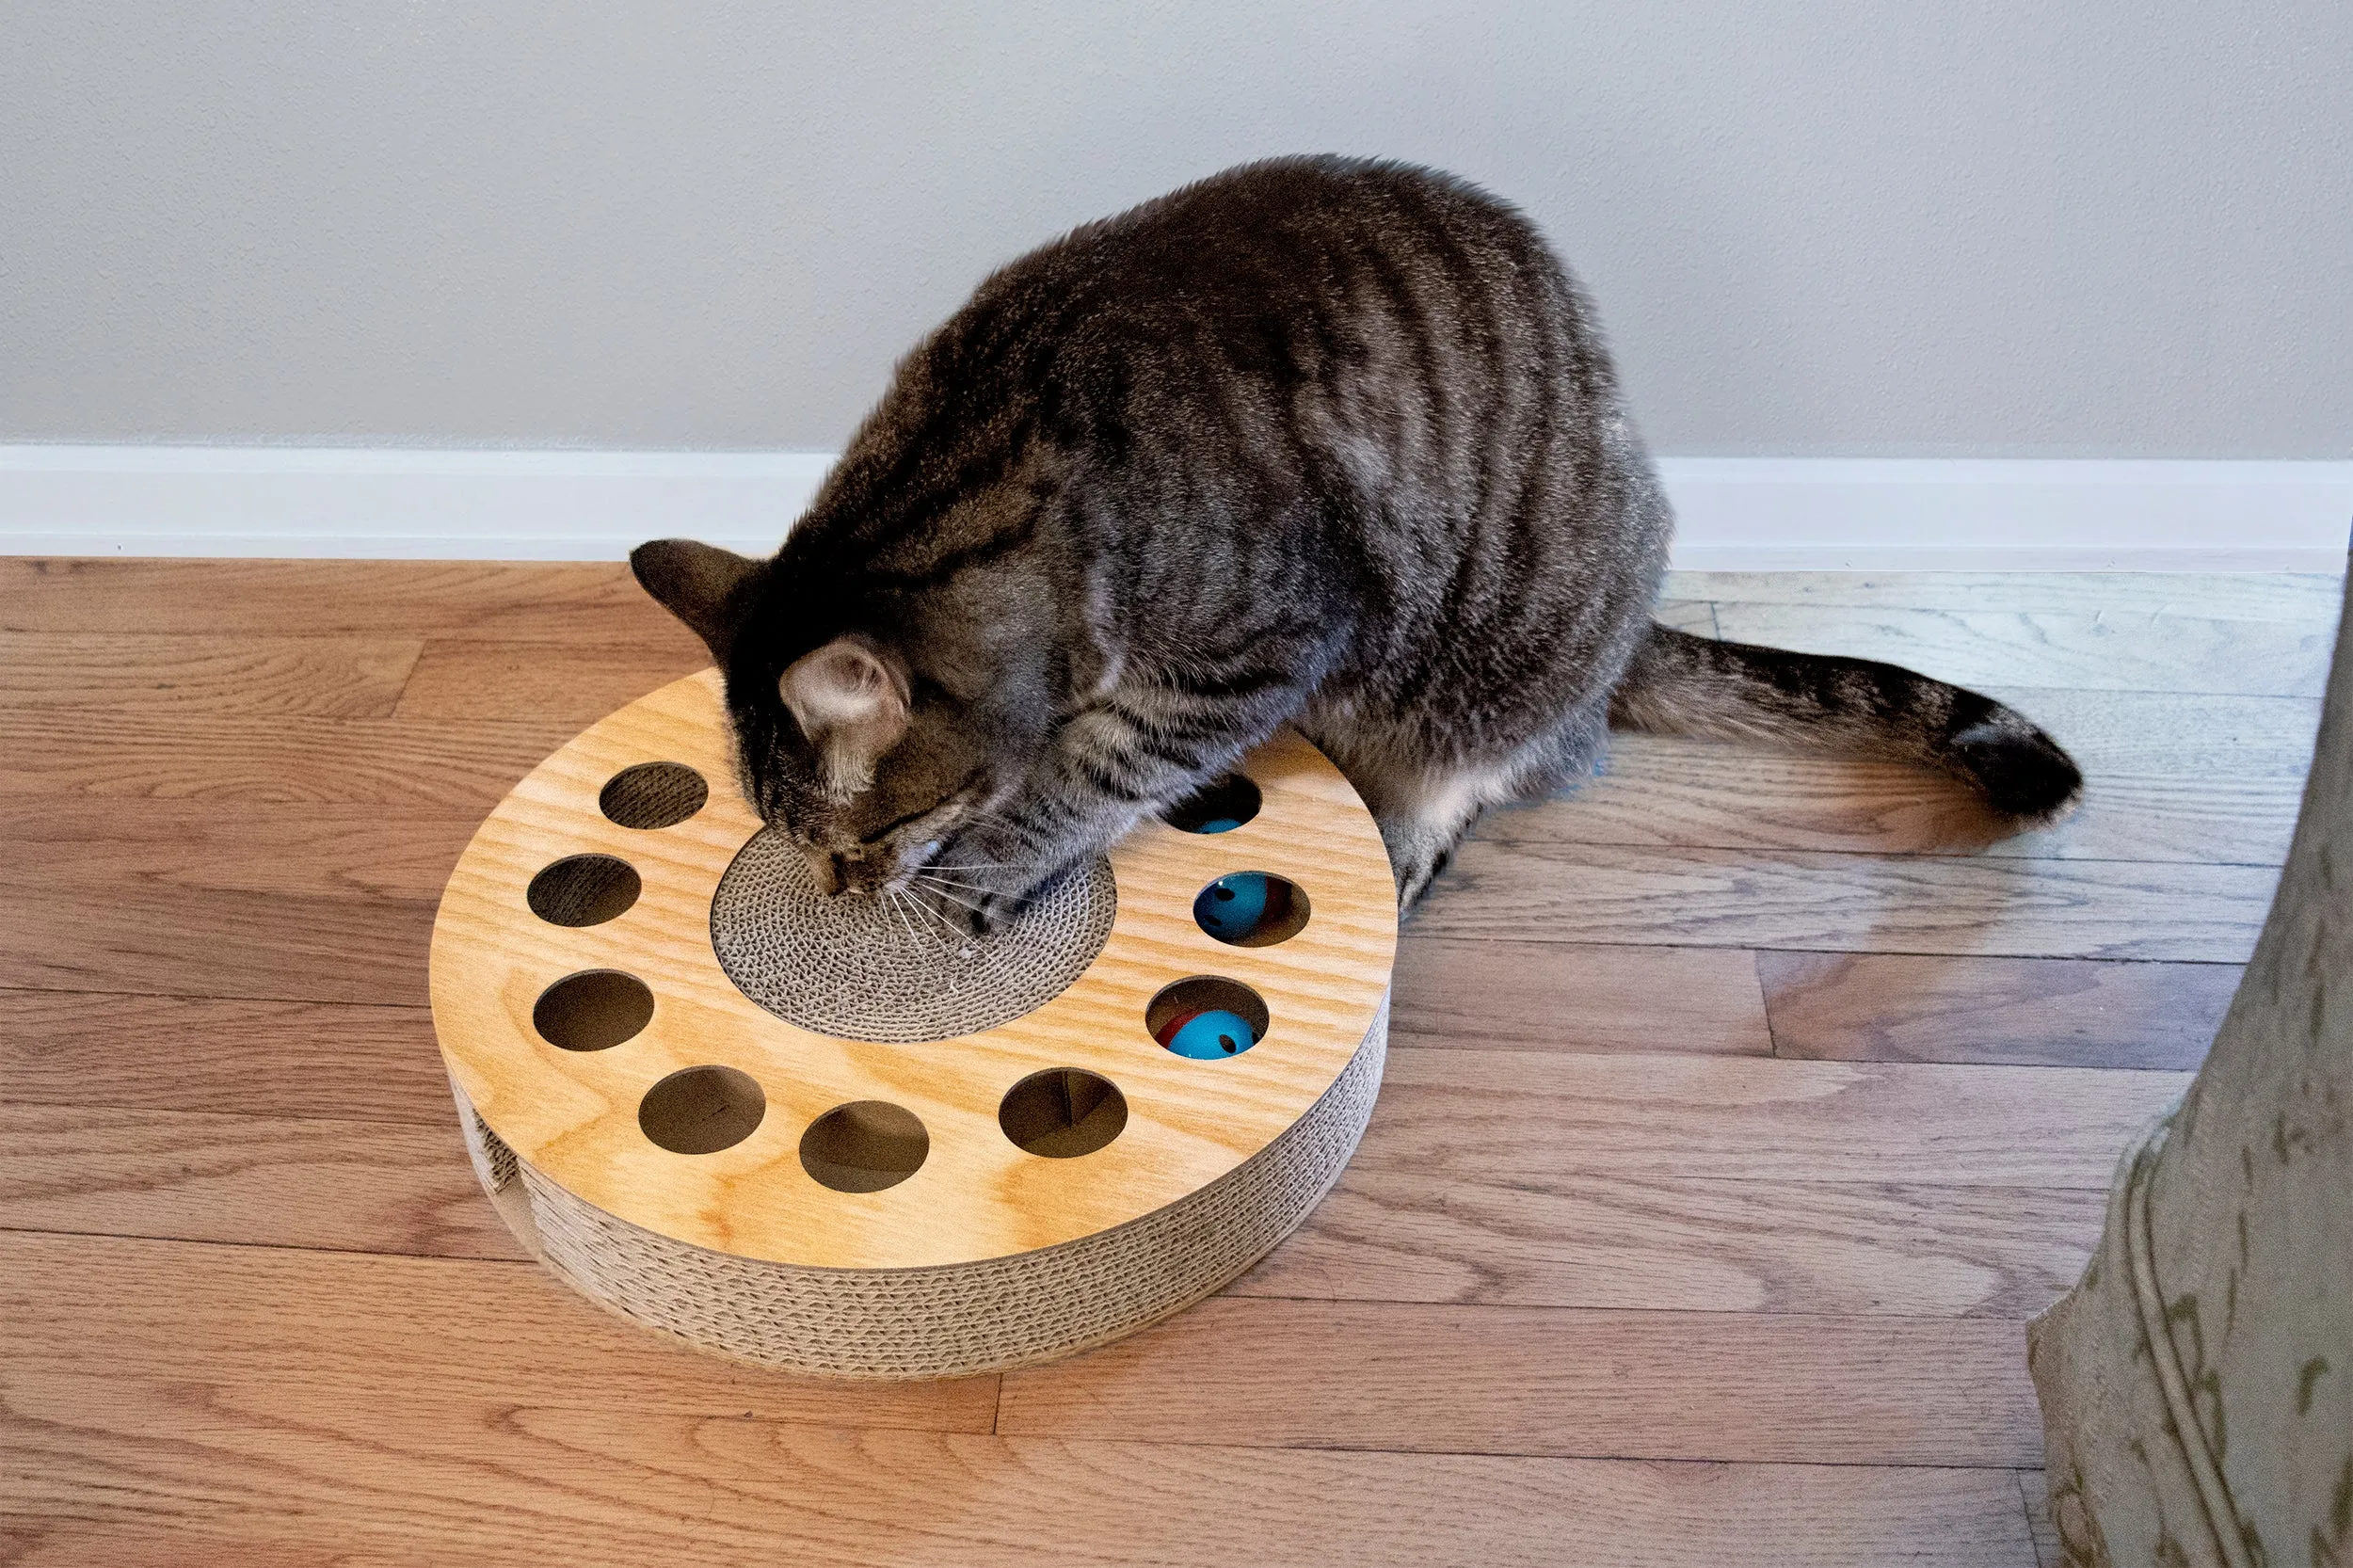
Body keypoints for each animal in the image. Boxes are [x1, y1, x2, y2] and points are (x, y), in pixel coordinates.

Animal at [640, 153, 2080, 922]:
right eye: (797, 843)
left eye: (855, 838)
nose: (837, 894)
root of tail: (1628, 639)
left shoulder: (1256, 644)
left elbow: (1096, 770)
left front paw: (994, 861)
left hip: (1496, 673)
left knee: (1484, 782)